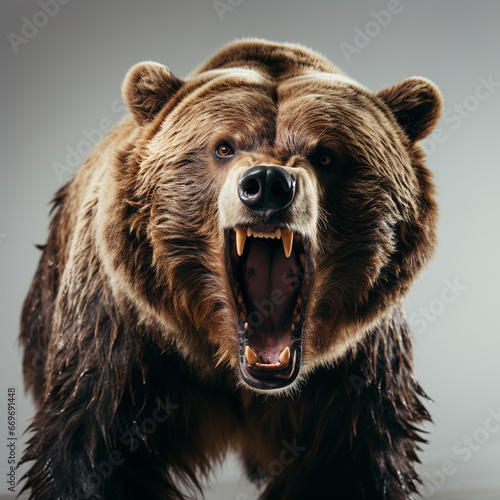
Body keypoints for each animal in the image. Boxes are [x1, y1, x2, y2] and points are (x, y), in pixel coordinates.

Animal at [18, 40, 442, 500]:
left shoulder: (356, 367)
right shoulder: (123, 334)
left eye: (326, 154)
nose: (269, 185)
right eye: (223, 147)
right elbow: (94, 448)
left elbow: (349, 461)